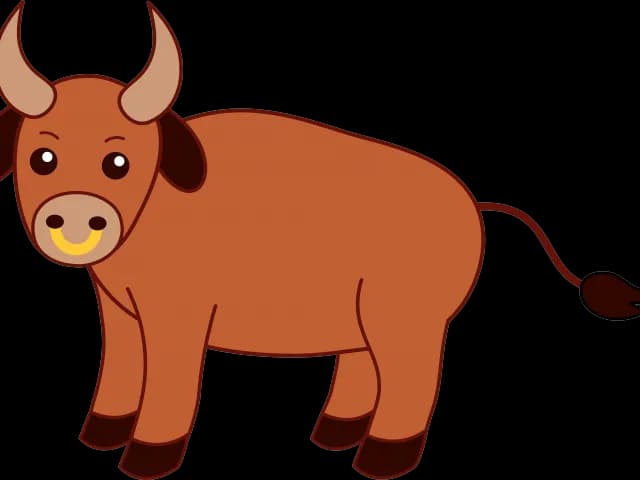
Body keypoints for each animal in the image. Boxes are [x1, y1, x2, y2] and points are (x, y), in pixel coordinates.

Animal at [1, 3, 637, 480]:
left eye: (118, 161)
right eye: (42, 157)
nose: (74, 215)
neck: (160, 203)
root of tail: (472, 202)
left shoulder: (176, 318)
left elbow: (169, 382)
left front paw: (145, 461)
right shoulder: (119, 312)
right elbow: (121, 368)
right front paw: (98, 436)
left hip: (405, 320)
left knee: (411, 378)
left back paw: (379, 460)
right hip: (361, 319)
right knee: (364, 369)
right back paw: (332, 435)